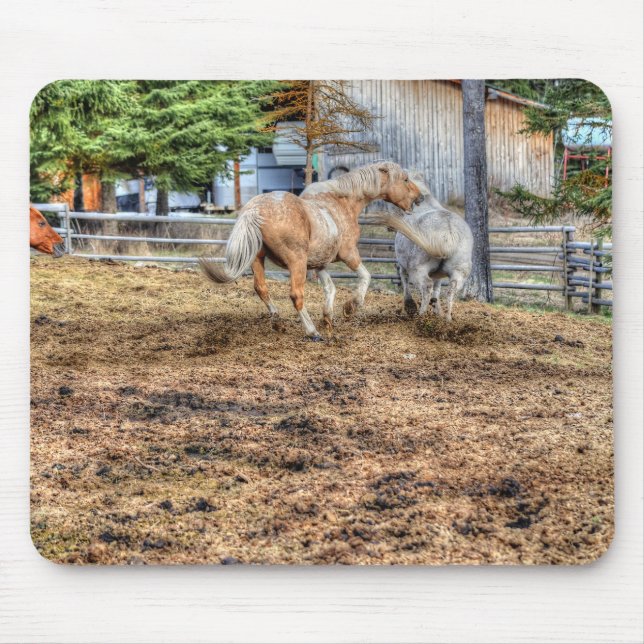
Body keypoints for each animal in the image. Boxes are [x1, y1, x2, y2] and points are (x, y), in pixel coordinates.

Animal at [200, 162, 422, 340]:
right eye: (404, 179)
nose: (419, 198)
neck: (343, 202)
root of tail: (255, 210)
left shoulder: (319, 264)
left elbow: (330, 288)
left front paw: (328, 319)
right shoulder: (349, 254)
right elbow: (365, 276)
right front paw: (350, 307)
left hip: (257, 259)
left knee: (261, 289)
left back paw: (278, 322)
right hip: (296, 261)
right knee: (296, 295)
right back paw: (312, 332)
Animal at [366, 173, 473, 322]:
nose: (389, 228)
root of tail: (448, 230)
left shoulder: (402, 266)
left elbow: (405, 281)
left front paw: (410, 306)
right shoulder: (438, 275)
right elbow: (437, 289)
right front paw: (436, 309)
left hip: (418, 270)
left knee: (426, 287)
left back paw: (421, 316)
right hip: (459, 272)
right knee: (451, 290)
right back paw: (447, 319)